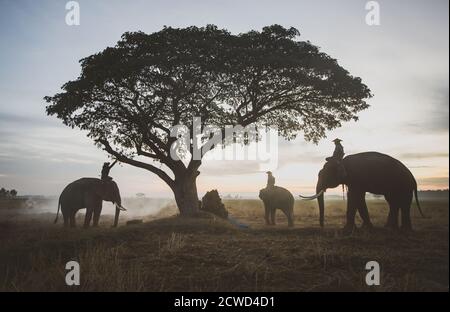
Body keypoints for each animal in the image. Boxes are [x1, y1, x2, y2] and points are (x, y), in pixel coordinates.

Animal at [298, 151, 426, 234]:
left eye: (324, 175)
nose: (322, 226)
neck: (341, 161)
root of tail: (413, 179)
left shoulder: (356, 177)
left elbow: (354, 196)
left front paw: (347, 230)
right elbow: (357, 198)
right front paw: (366, 228)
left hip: (405, 186)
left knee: (403, 203)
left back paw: (403, 230)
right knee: (393, 202)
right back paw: (390, 228)